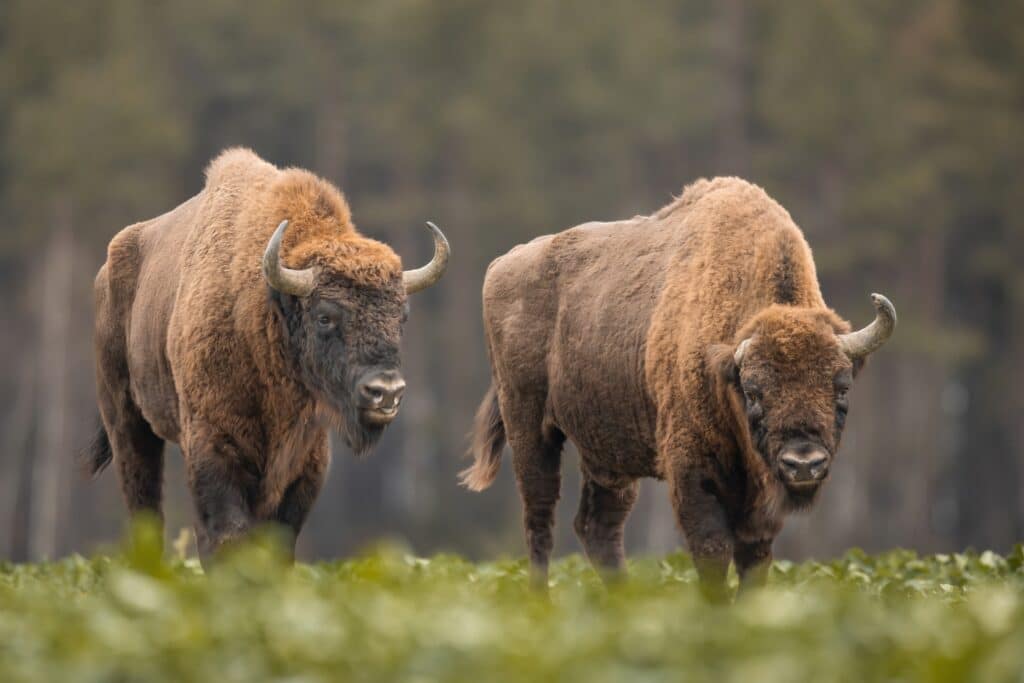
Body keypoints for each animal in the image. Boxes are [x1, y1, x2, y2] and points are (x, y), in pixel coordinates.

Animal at [85, 148, 449, 560]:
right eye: (325, 316)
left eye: (401, 316)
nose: (385, 392)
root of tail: (107, 271)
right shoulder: (213, 444)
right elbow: (224, 534)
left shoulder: (306, 460)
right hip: (126, 420)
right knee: (142, 500)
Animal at [461, 177, 895, 597]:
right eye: (754, 391)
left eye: (841, 389)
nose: (803, 463)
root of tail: (501, 264)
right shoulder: (692, 470)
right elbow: (712, 550)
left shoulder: (758, 503)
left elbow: (754, 559)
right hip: (529, 427)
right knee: (540, 516)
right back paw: (540, 602)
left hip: (606, 453)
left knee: (597, 526)